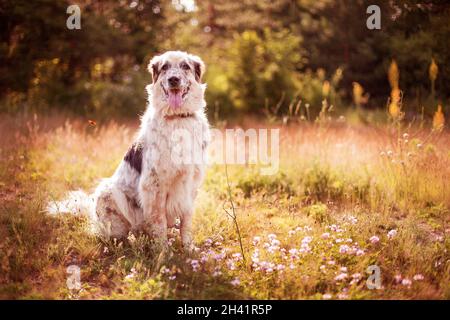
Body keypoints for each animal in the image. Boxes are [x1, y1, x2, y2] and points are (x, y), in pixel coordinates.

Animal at [48, 51, 210, 250]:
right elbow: (159, 221)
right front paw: (163, 252)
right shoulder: (154, 185)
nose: (173, 79)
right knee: (116, 233)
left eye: (185, 66)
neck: (177, 118)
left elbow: (186, 221)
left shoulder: (191, 183)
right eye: (165, 67)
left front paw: (188, 249)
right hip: (107, 191)